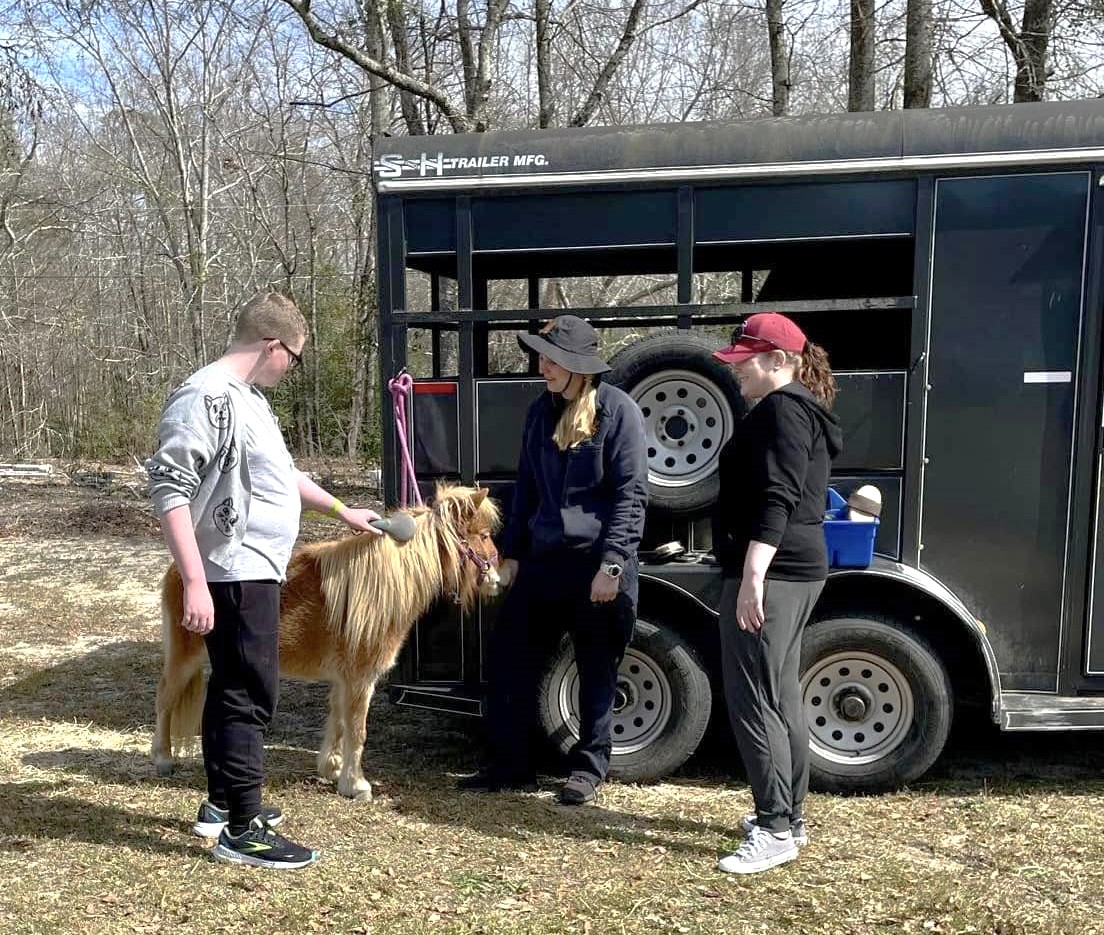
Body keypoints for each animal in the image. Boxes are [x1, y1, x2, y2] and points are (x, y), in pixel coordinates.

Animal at [151, 485, 501, 799]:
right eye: (483, 535)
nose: (498, 578)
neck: (381, 586)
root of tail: (178, 569)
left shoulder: (344, 679)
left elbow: (340, 721)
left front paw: (332, 768)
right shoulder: (361, 678)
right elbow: (357, 729)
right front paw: (356, 784)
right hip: (186, 658)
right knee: (165, 698)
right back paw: (163, 758)